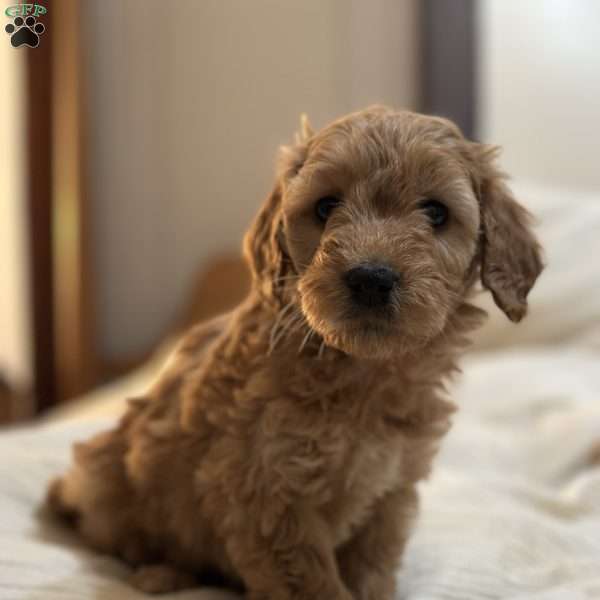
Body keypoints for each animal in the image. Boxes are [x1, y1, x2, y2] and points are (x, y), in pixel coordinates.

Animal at [47, 108, 544, 600]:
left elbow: (372, 567)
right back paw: (161, 574)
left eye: (436, 213)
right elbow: (313, 585)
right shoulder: (266, 493)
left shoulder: (390, 490)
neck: (362, 373)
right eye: (325, 207)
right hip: (105, 477)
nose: (371, 278)